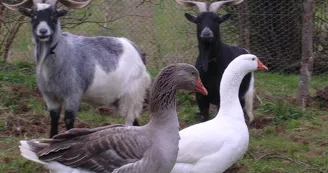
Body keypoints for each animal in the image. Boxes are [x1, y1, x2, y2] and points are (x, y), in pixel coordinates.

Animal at [1, 0, 151, 138]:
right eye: (33, 15)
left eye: (54, 15)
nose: (43, 31)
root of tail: (135, 49)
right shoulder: (50, 96)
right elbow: (54, 119)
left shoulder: (73, 94)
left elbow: (68, 120)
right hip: (121, 98)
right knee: (136, 122)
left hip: (132, 95)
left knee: (130, 121)